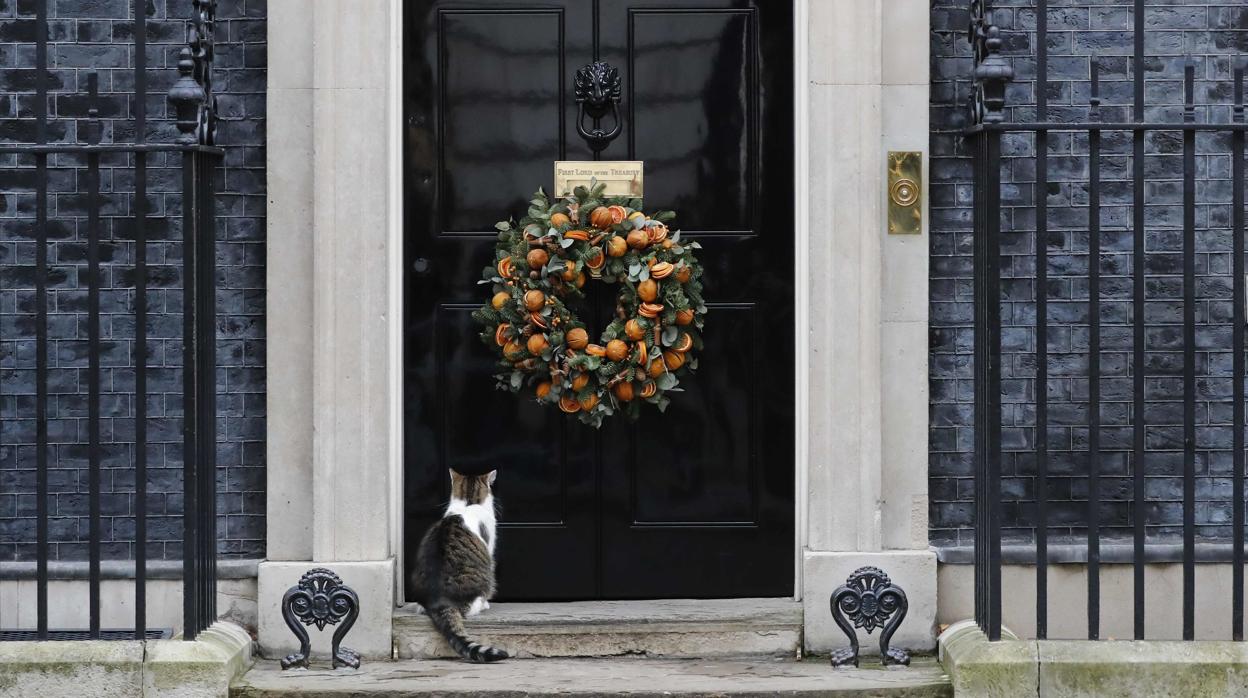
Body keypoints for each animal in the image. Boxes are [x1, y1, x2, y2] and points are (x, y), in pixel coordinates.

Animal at [409, 469, 506, 659]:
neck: (469, 503)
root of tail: (439, 601)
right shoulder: (490, 546)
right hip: (485, 580)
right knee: (470, 607)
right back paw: (483, 605)